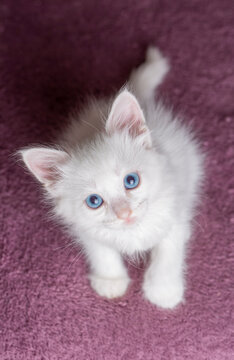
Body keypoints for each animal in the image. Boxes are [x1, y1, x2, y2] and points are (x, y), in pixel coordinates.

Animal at [19, 46, 203, 308]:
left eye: (131, 181)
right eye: (94, 201)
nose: (125, 213)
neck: (133, 233)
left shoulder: (176, 214)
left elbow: (168, 251)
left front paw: (163, 290)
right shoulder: (85, 229)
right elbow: (102, 252)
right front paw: (110, 281)